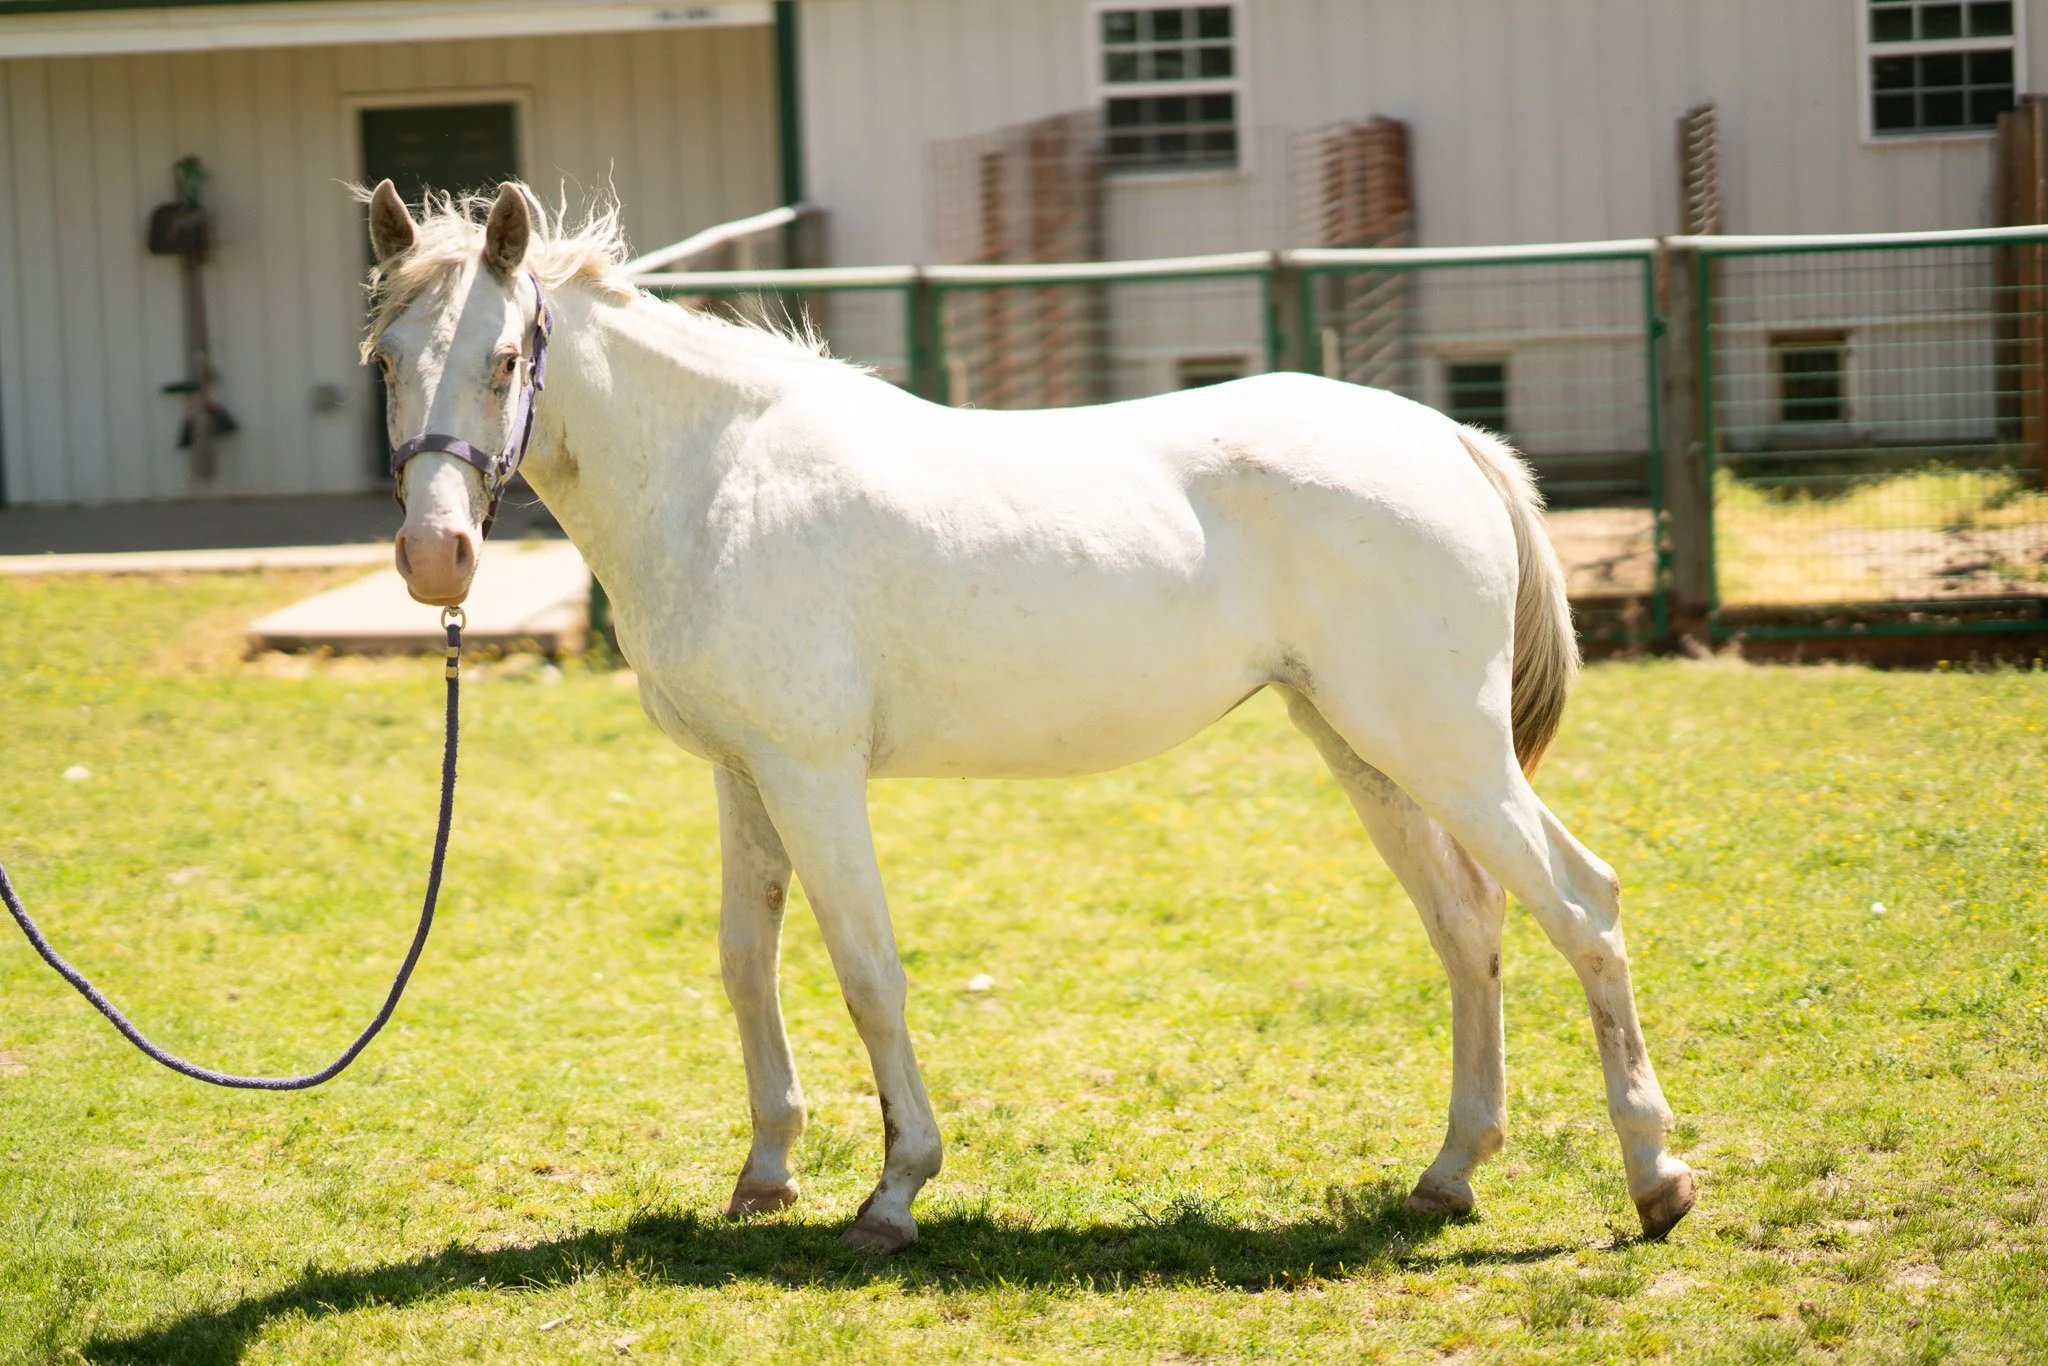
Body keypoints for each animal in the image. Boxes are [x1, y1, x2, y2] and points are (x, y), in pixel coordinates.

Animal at [361, 180, 1695, 1254]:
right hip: (1363, 746)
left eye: (504, 358)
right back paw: (1449, 1173)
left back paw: (1655, 1178)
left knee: (1580, 906)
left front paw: (893, 1193)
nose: (434, 561)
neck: (718, 478)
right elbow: (748, 964)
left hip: (1443, 746)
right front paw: (765, 1174)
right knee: (1466, 926)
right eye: (386, 360)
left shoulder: (811, 773)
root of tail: (1449, 438)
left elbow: (866, 971)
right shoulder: (742, 773)